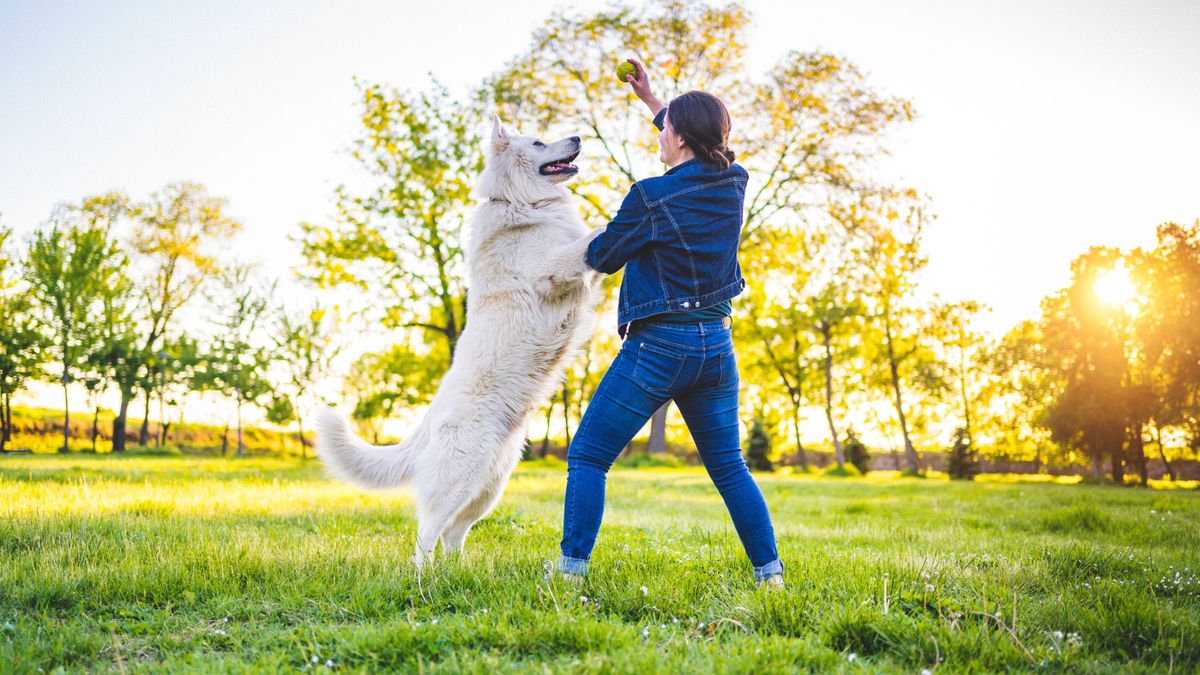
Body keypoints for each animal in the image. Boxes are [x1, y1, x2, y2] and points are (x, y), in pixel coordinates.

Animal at [316, 117, 604, 566]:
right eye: (539, 142)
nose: (577, 136)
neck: (520, 202)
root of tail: (427, 422)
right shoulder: (552, 269)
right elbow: (589, 238)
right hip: (459, 480)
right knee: (426, 537)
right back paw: (424, 577)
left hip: (488, 488)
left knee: (453, 534)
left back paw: (458, 572)